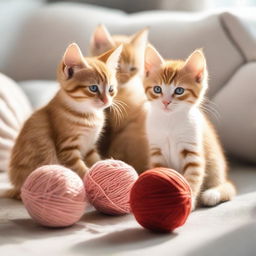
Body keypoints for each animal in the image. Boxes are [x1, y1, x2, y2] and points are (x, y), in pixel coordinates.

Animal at [6, 42, 122, 199]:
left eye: (111, 89)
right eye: (93, 88)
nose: (106, 101)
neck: (88, 115)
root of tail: (16, 187)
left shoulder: (90, 146)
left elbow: (95, 160)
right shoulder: (67, 149)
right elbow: (81, 169)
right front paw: (92, 180)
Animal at [143, 45, 235, 210]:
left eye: (179, 91)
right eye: (157, 89)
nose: (165, 102)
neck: (170, 122)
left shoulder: (193, 151)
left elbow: (192, 177)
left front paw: (189, 200)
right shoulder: (156, 150)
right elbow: (159, 172)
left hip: (216, 165)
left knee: (228, 188)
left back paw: (212, 194)